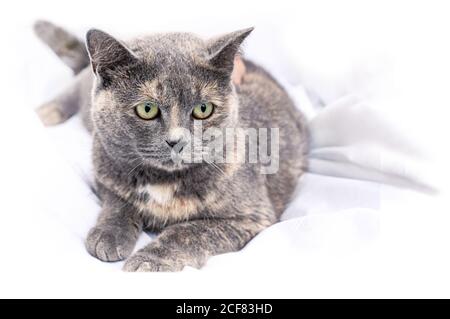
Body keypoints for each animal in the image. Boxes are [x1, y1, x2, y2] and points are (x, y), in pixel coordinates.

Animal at [34, 20, 310, 272]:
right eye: (147, 109)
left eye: (203, 109)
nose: (177, 141)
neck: (163, 181)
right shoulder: (103, 170)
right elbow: (118, 201)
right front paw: (109, 234)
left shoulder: (252, 216)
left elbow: (190, 231)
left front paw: (149, 260)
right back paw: (44, 113)